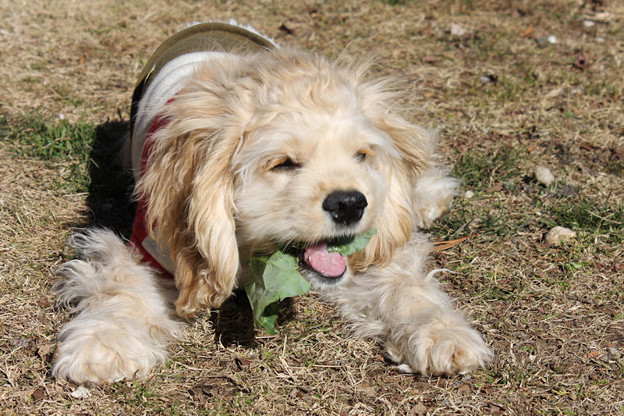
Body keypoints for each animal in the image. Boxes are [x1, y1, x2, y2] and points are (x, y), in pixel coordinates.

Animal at [52, 22, 492, 386]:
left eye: (362, 155)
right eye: (282, 163)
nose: (351, 203)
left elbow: (404, 285)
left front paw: (443, 333)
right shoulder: (153, 241)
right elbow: (122, 288)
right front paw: (103, 343)